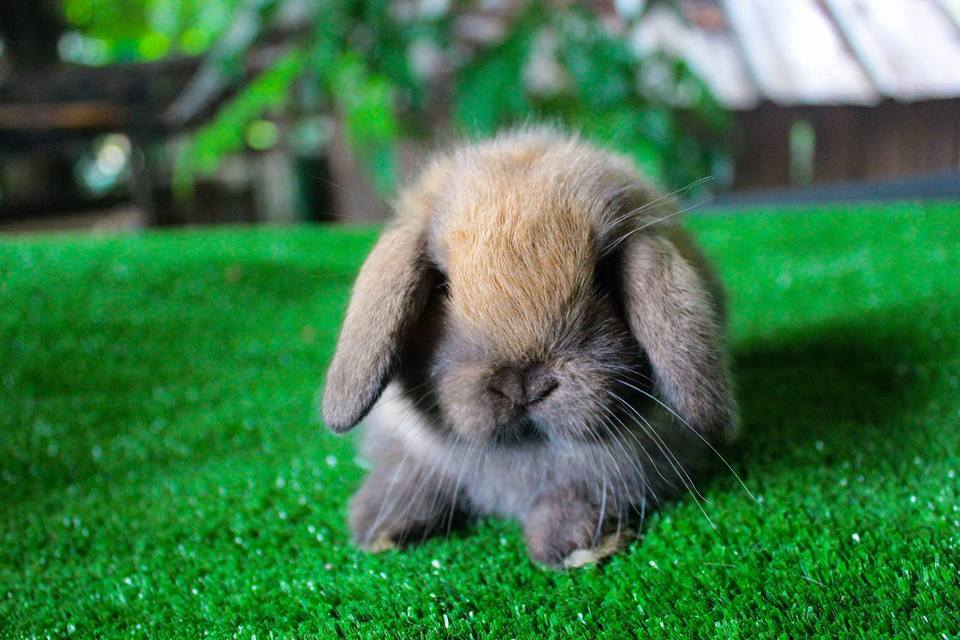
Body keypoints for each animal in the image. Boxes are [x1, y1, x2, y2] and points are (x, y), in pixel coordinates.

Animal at [322, 126, 736, 568]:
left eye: (604, 277)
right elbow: (410, 473)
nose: (524, 382)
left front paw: (575, 546)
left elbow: (578, 492)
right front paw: (378, 526)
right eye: (440, 286)